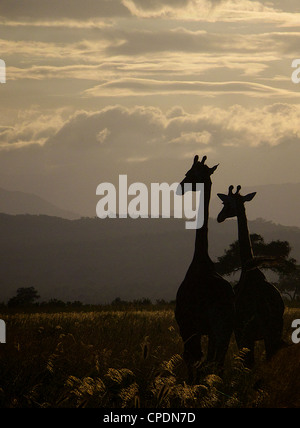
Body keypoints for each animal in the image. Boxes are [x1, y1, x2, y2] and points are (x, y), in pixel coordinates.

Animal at [175, 155, 236, 382]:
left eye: (190, 173)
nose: (180, 187)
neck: (201, 261)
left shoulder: (187, 325)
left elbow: (191, 359)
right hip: (225, 329)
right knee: (217, 363)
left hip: (213, 328)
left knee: (204, 361)